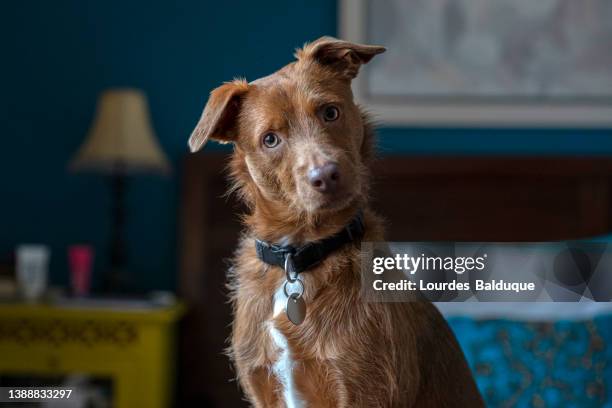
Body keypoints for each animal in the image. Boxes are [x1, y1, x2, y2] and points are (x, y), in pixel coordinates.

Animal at [186, 36, 482, 406]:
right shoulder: (262, 387)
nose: (326, 175)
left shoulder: (365, 390)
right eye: (270, 139)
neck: (298, 258)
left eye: (330, 112)